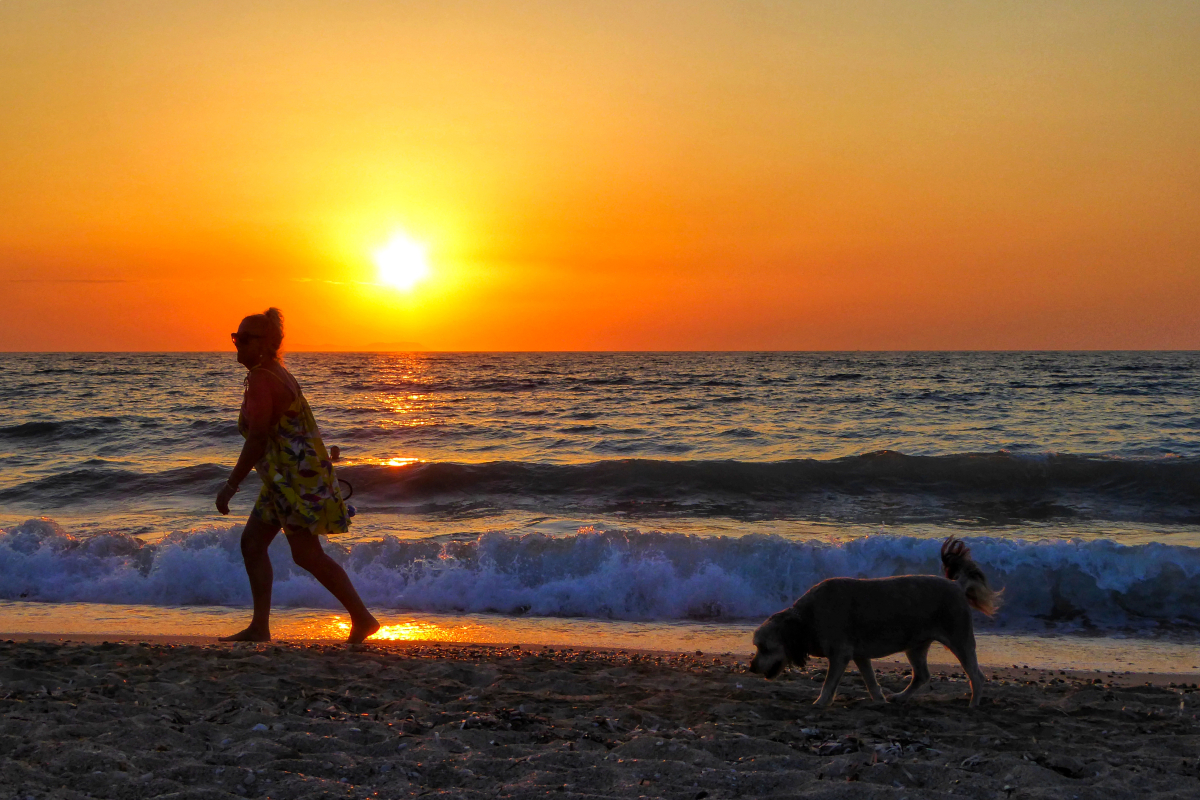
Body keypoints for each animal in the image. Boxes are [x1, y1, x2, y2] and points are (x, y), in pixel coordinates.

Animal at [748, 537, 1003, 705]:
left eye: (764, 647)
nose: (751, 667)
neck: (807, 619)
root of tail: (957, 585)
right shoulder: (860, 655)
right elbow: (870, 680)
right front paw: (879, 700)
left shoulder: (840, 654)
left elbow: (829, 684)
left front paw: (820, 703)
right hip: (915, 645)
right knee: (921, 675)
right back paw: (900, 696)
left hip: (960, 640)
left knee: (977, 676)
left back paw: (973, 704)